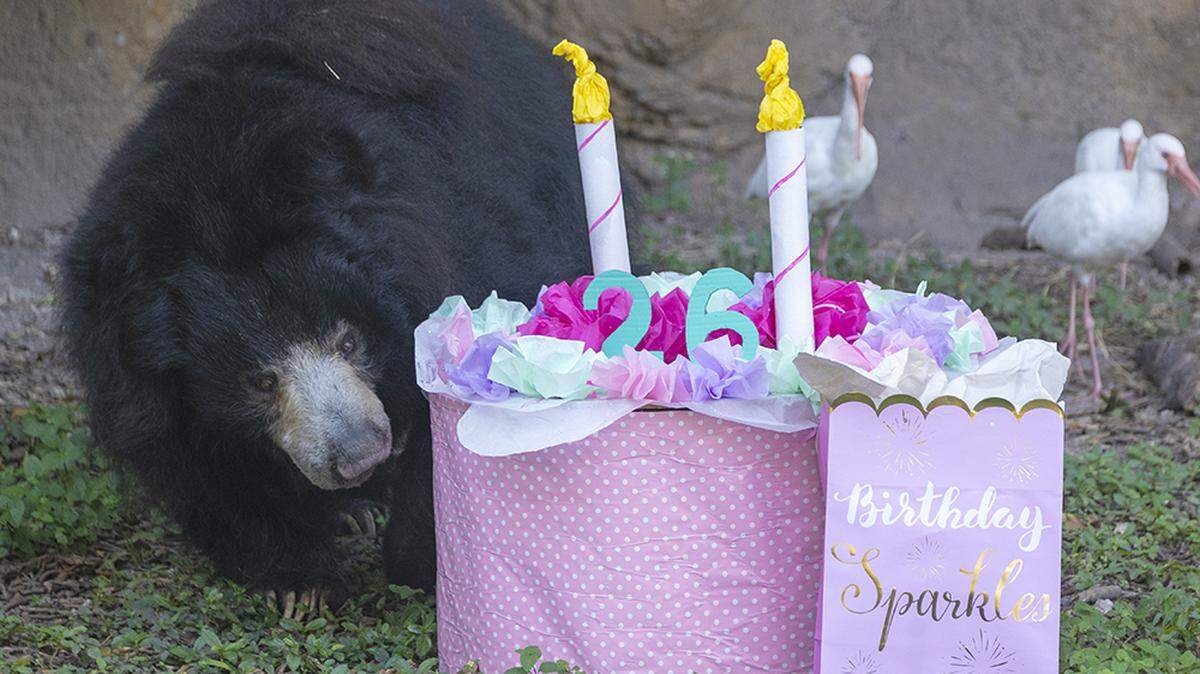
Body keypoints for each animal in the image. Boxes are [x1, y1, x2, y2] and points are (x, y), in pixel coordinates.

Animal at [60, 0, 600, 611]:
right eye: (259, 381)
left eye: (348, 340)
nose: (359, 456)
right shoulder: (129, 355)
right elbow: (192, 451)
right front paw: (300, 581)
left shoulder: (461, 238)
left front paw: (423, 562)